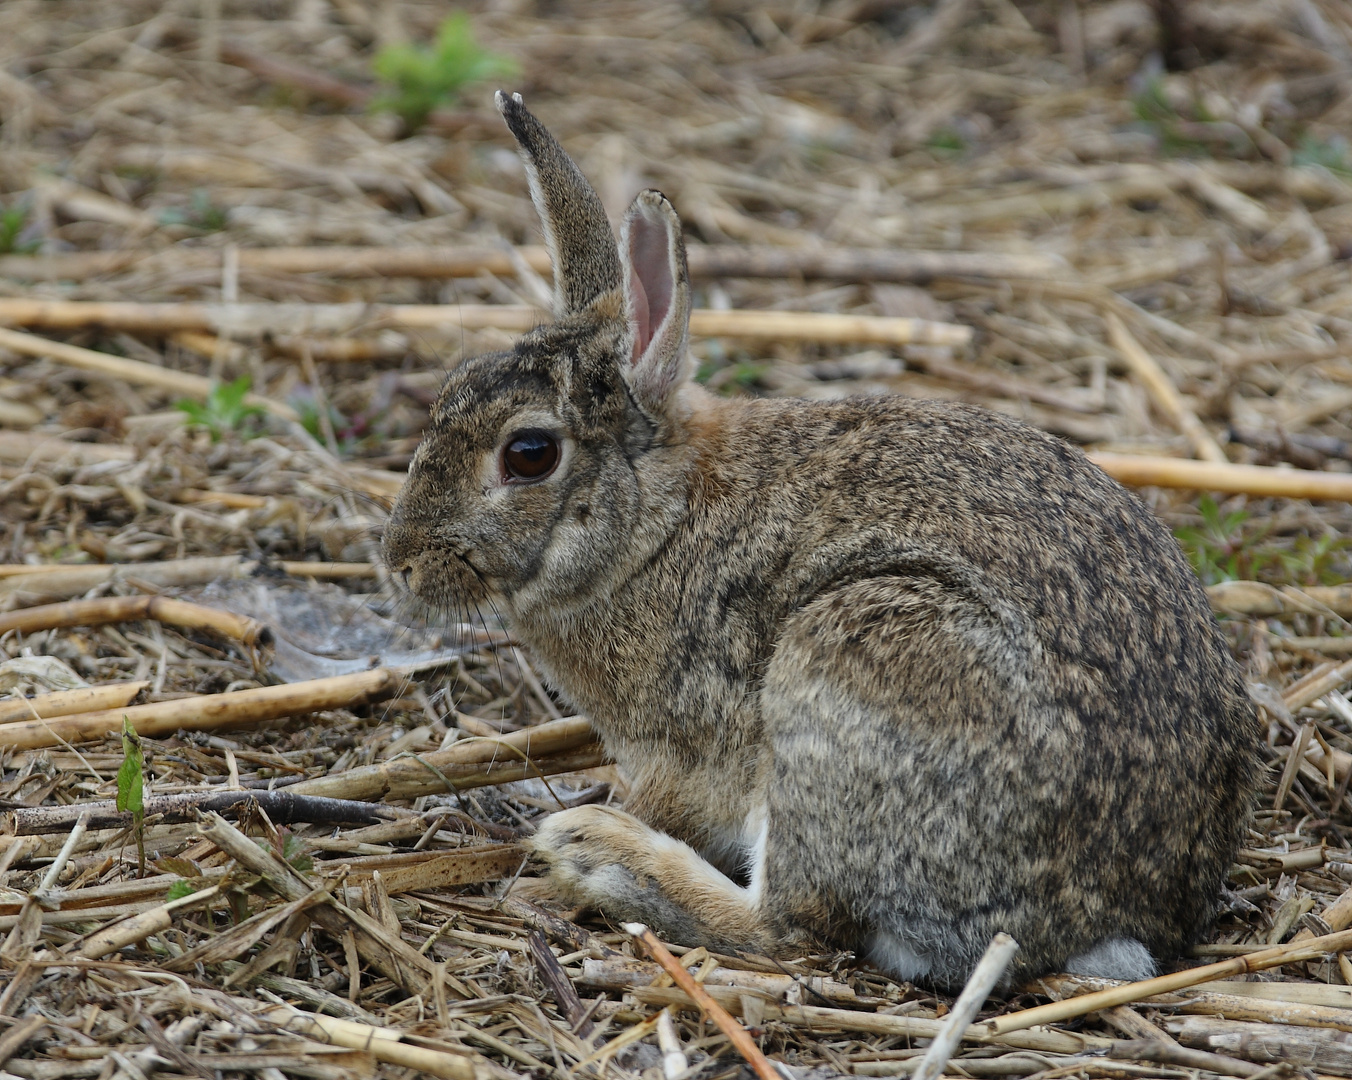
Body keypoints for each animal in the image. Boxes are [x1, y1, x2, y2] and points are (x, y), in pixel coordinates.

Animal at [378, 93, 1254, 989]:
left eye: (529, 453)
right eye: (451, 390)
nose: (400, 561)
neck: (656, 526)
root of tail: (1117, 914)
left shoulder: (677, 756)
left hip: (851, 665)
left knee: (789, 926)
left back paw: (595, 851)